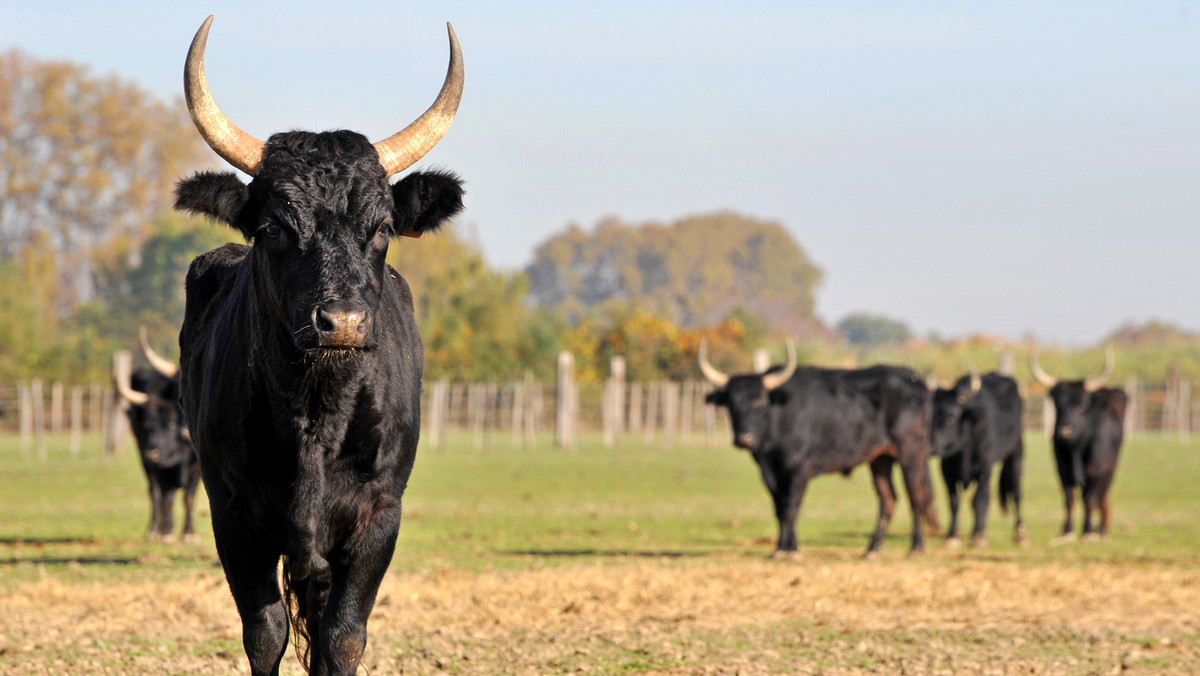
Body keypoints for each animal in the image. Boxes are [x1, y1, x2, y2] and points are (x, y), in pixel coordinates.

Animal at [116, 328, 199, 545]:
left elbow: (189, 498)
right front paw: (167, 532)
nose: (152, 452)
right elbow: (166, 497)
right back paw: (155, 530)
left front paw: (189, 533)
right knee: (155, 493)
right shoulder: (161, 466)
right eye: (147, 425)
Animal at [174, 15, 463, 676]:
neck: (314, 413)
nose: (344, 322)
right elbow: (265, 633)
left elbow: (343, 637)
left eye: (382, 227)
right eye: (274, 227)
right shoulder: (233, 515)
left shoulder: (378, 516)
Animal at [700, 343, 940, 561]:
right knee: (888, 499)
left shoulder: (799, 468)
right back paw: (873, 549)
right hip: (881, 458)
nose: (744, 438)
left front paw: (791, 551)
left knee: (916, 497)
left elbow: (791, 508)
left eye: (759, 402)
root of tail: (914, 379)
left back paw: (916, 548)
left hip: (911, 453)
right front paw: (780, 548)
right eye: (731, 404)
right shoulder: (768, 471)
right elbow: (779, 508)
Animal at [926, 367, 1032, 547]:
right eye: (928, 417)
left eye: (951, 417)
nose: (929, 447)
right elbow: (954, 502)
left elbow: (977, 501)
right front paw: (952, 536)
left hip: (1016, 456)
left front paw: (977, 537)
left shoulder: (984, 469)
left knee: (1016, 493)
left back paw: (1020, 534)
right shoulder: (947, 471)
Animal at [1032, 348, 1123, 545]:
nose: (1064, 430)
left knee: (1101, 497)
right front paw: (1067, 531)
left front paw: (1088, 531)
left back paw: (1102, 530)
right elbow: (1069, 499)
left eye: (1082, 404)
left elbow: (1089, 499)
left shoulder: (1096, 470)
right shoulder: (1062, 470)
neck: (1077, 449)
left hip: (1110, 469)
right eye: (1057, 404)